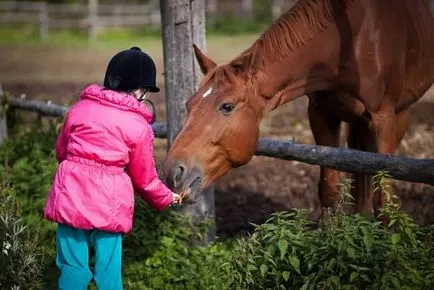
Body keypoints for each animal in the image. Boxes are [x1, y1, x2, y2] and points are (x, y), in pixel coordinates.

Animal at [162, 0, 434, 218]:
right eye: (189, 104)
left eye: (226, 106)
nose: (172, 171)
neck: (348, 42)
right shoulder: (321, 115)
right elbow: (329, 191)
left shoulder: (382, 119)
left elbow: (384, 201)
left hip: (398, 117)